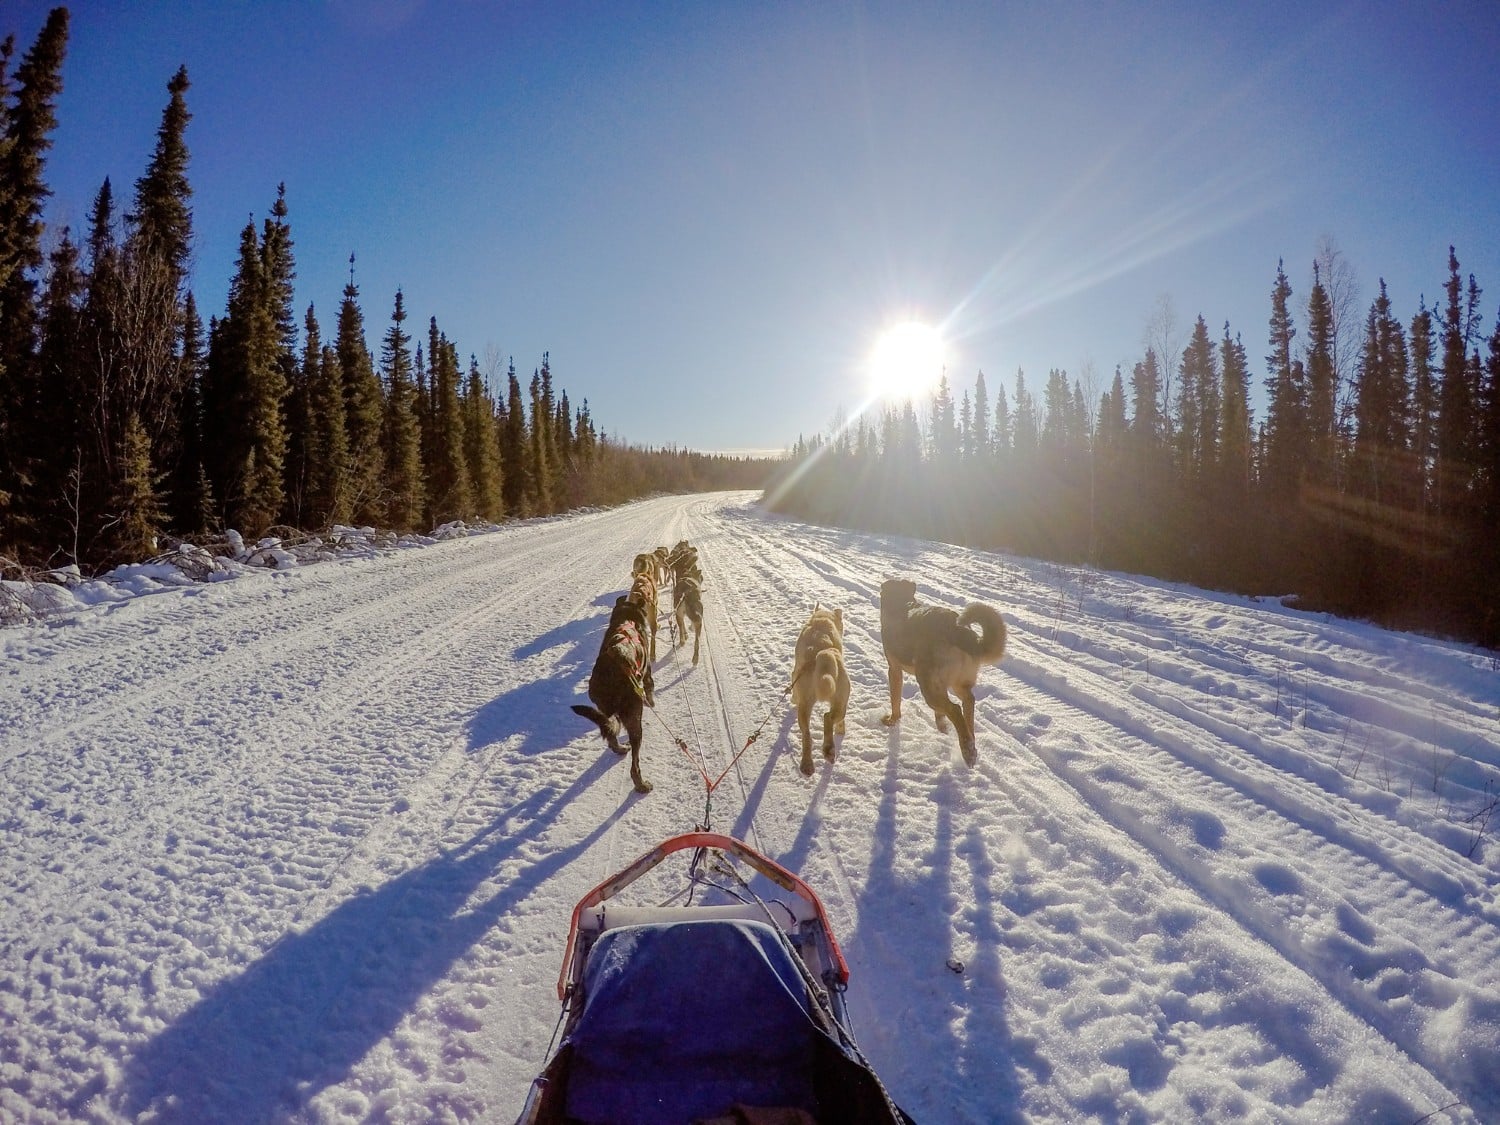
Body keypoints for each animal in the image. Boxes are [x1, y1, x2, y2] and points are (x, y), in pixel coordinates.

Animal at [573, 594, 657, 798]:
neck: (627, 616)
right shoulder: (647, 673)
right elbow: (650, 688)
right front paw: (652, 701)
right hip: (634, 720)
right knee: (634, 766)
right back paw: (641, 785)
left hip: (604, 710)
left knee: (610, 737)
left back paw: (619, 748)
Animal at [792, 609, 852, 774]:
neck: (822, 619)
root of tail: (825, 654)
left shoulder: (794, 675)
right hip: (840, 701)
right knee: (826, 719)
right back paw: (824, 753)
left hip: (805, 704)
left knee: (811, 730)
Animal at [876, 576, 1008, 774]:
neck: (901, 603)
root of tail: (958, 630)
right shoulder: (941, 684)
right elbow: (940, 713)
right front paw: (941, 725)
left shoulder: (894, 670)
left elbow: (895, 701)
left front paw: (892, 720)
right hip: (957, 683)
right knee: (968, 703)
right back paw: (969, 742)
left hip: (927, 684)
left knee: (955, 709)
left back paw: (967, 750)